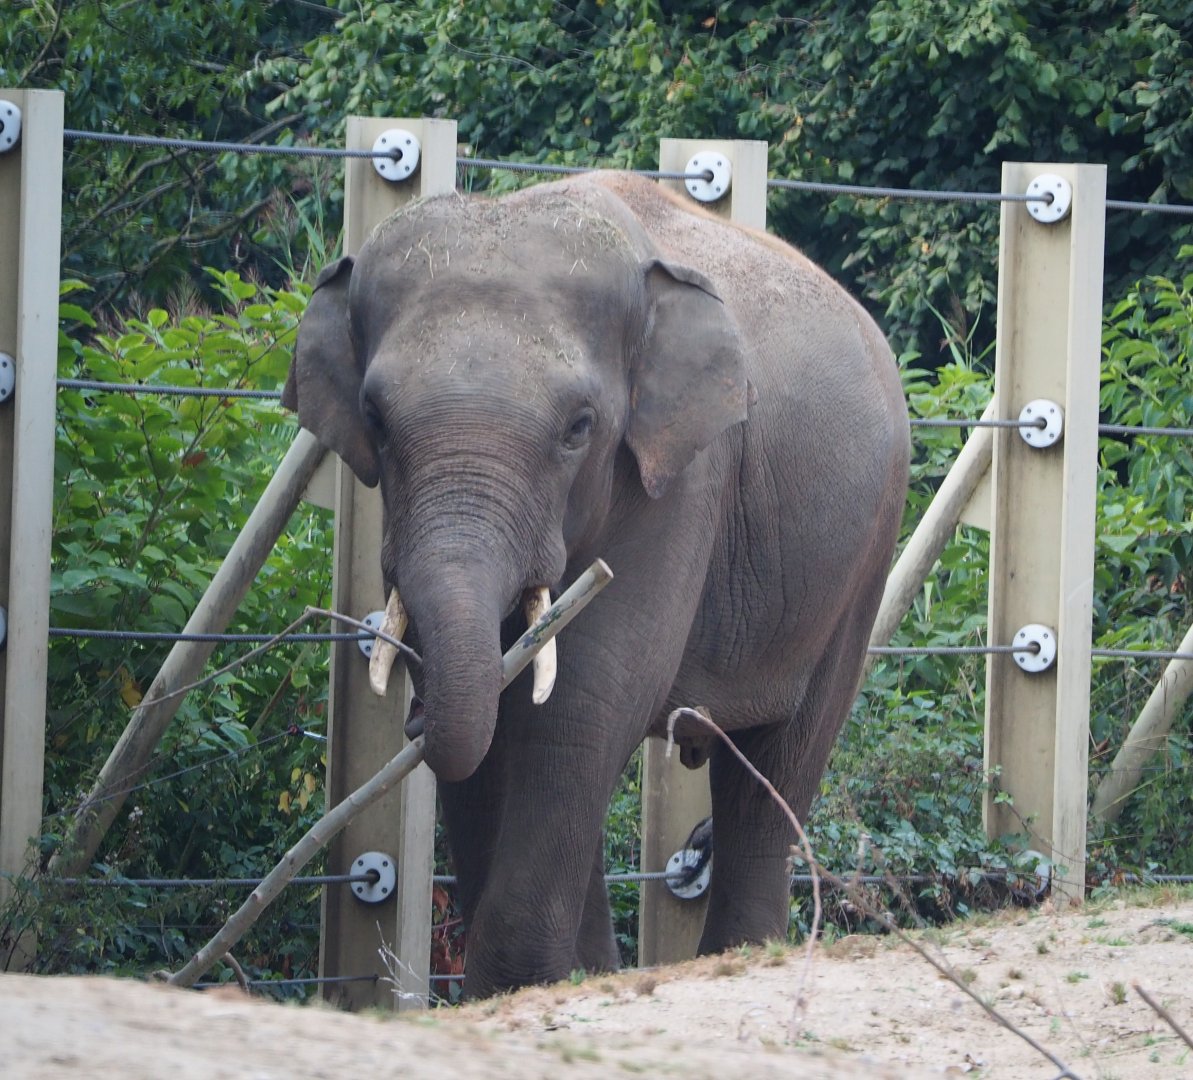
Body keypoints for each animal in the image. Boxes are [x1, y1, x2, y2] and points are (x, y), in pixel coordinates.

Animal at [283, 171, 910, 998]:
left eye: (578, 428)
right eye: (373, 420)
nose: (412, 721)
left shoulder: (681, 475)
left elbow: (584, 696)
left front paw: (522, 984)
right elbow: (507, 717)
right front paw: (545, 982)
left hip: (866, 548)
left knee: (782, 757)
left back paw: (742, 955)